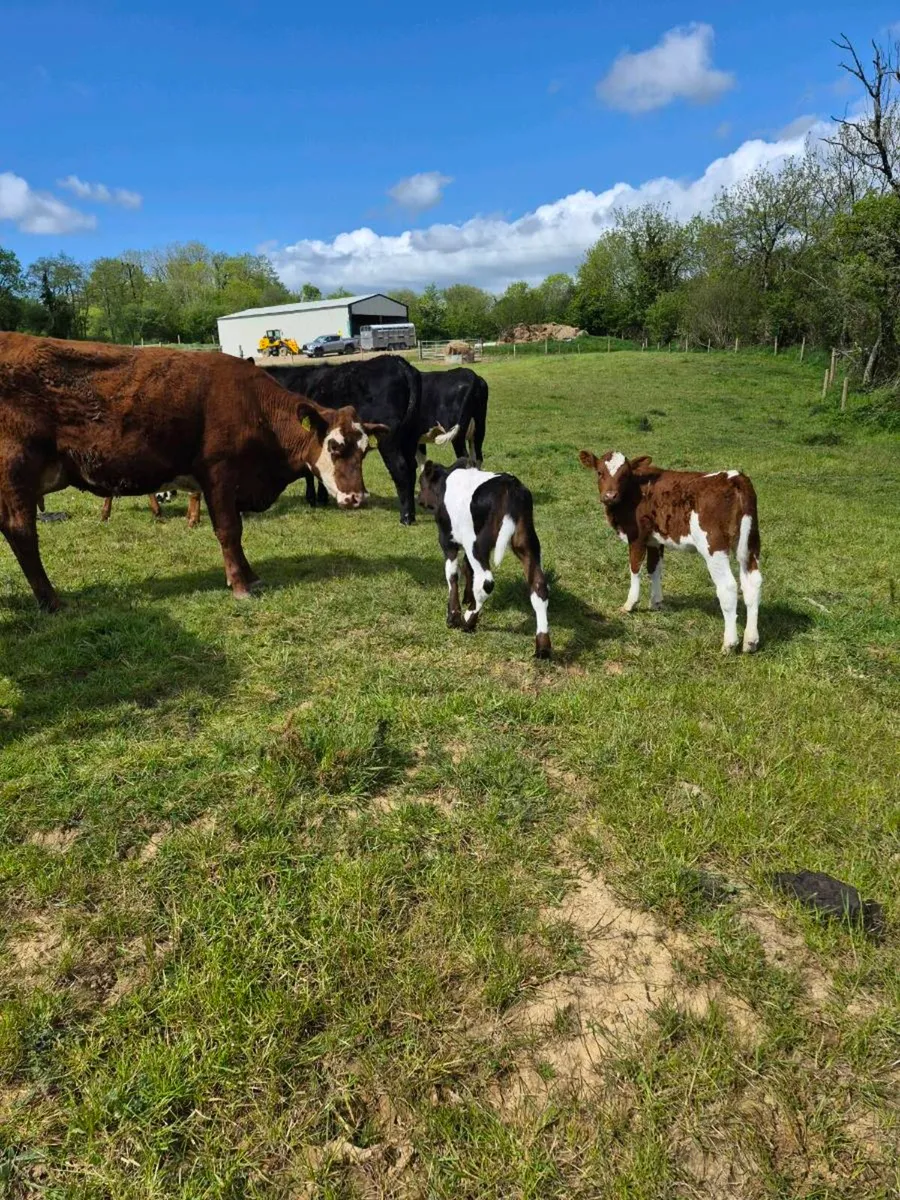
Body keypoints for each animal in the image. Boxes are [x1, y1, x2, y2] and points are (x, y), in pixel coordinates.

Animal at [0, 332, 385, 610]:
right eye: (334, 446)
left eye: (366, 449)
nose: (356, 497)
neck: (255, 406)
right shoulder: (219, 473)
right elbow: (229, 531)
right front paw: (241, 585)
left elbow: (237, 530)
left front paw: (249, 575)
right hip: (17, 471)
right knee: (22, 532)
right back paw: (51, 601)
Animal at [260, 356, 422, 524]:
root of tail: (398, 362)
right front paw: (322, 497)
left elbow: (309, 472)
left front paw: (312, 499)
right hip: (410, 437)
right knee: (412, 468)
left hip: (388, 438)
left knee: (401, 469)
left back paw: (406, 517)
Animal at [417, 459, 551, 659]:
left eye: (420, 482)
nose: (418, 499)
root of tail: (511, 486)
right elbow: (467, 569)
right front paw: (467, 598)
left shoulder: (447, 539)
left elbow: (452, 574)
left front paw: (453, 616)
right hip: (527, 541)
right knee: (539, 586)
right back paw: (543, 647)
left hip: (477, 542)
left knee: (486, 581)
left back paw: (468, 621)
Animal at [578, 449, 762, 653]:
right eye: (599, 472)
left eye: (625, 474)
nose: (610, 496)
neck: (635, 490)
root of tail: (734, 477)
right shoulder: (655, 540)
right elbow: (654, 569)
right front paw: (656, 602)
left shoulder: (637, 537)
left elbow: (635, 568)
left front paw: (630, 604)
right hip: (750, 544)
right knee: (753, 583)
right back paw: (750, 641)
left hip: (714, 547)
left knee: (728, 587)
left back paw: (729, 644)